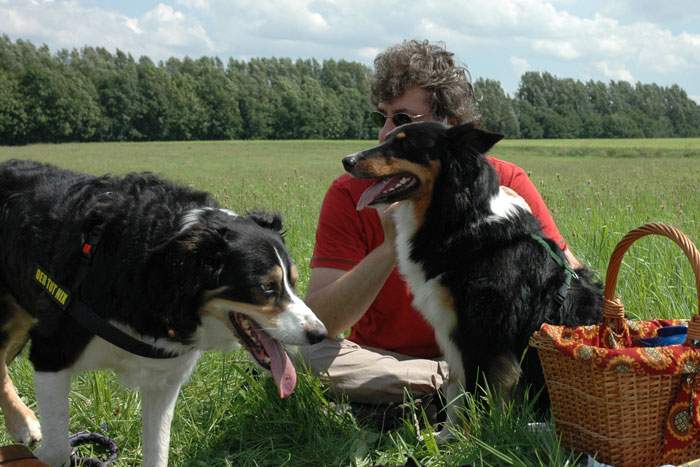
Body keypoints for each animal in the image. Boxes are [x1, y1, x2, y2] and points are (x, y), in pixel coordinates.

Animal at [0, 159, 326, 466]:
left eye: (293, 281)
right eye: (266, 287)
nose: (319, 334)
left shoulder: (164, 378)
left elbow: (158, 451)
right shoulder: (51, 350)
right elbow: (56, 450)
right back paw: (23, 422)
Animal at [342, 121, 600, 438]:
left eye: (404, 144)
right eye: (387, 137)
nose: (347, 161)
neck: (458, 217)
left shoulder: (480, 331)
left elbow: (475, 391)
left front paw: (469, 439)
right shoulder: (451, 328)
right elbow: (456, 390)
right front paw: (444, 436)